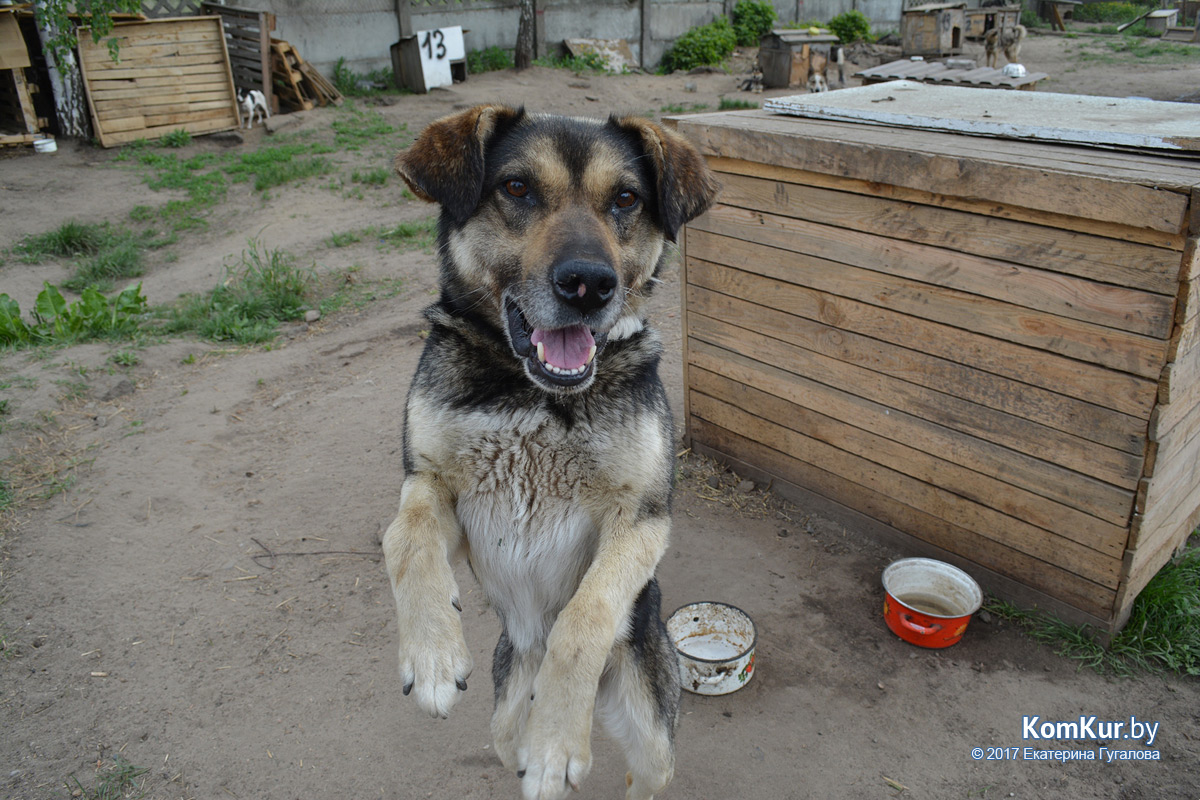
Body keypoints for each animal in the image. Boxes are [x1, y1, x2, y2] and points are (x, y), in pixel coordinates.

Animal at [384, 107, 715, 800]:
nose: (589, 284)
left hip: (653, 739)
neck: (533, 395)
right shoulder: (433, 485)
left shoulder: (641, 519)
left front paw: (558, 741)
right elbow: (402, 538)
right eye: (516, 188)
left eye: (626, 199)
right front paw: (432, 655)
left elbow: (583, 620)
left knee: (641, 773)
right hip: (502, 726)